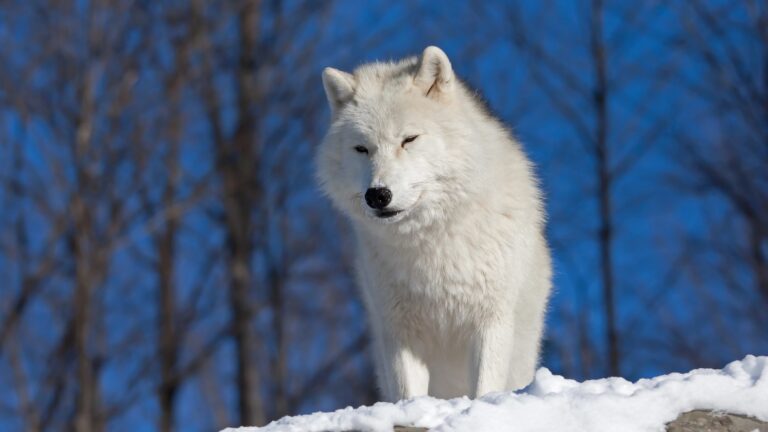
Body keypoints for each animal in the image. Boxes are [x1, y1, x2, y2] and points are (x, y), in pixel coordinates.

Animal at [316, 46, 552, 401]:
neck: (432, 242)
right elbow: (408, 394)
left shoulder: (491, 322)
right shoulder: (400, 333)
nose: (378, 195)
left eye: (409, 139)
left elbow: (484, 387)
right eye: (362, 149)